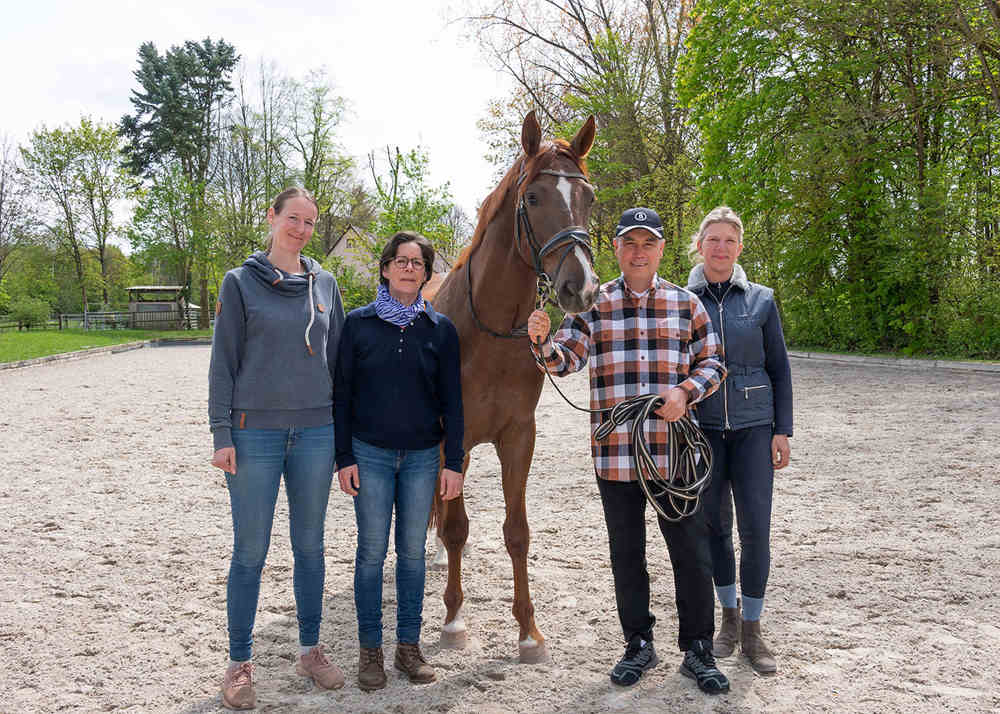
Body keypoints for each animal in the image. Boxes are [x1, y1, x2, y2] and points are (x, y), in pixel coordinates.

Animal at [426, 111, 596, 660]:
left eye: (588, 198)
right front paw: (454, 621)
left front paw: (528, 632)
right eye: (534, 198)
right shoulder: (452, 437)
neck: (489, 331)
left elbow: (516, 532)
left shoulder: (519, 436)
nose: (580, 287)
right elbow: (457, 527)